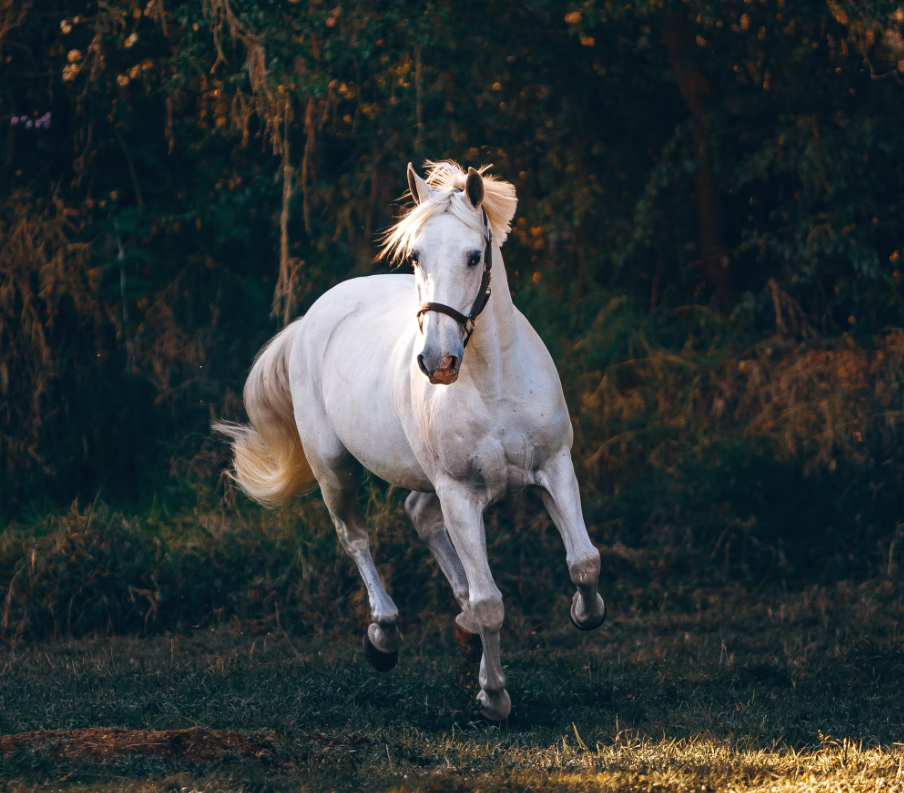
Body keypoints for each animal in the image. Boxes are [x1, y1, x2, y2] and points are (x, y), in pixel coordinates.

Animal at [215, 161, 606, 720]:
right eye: (416, 255)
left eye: (474, 256)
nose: (437, 362)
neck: (494, 383)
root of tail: (313, 317)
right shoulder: (460, 494)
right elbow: (491, 602)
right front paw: (493, 697)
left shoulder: (554, 468)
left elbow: (583, 562)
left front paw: (581, 612)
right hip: (334, 467)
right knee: (356, 538)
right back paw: (383, 637)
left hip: (426, 478)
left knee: (419, 515)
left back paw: (459, 627)